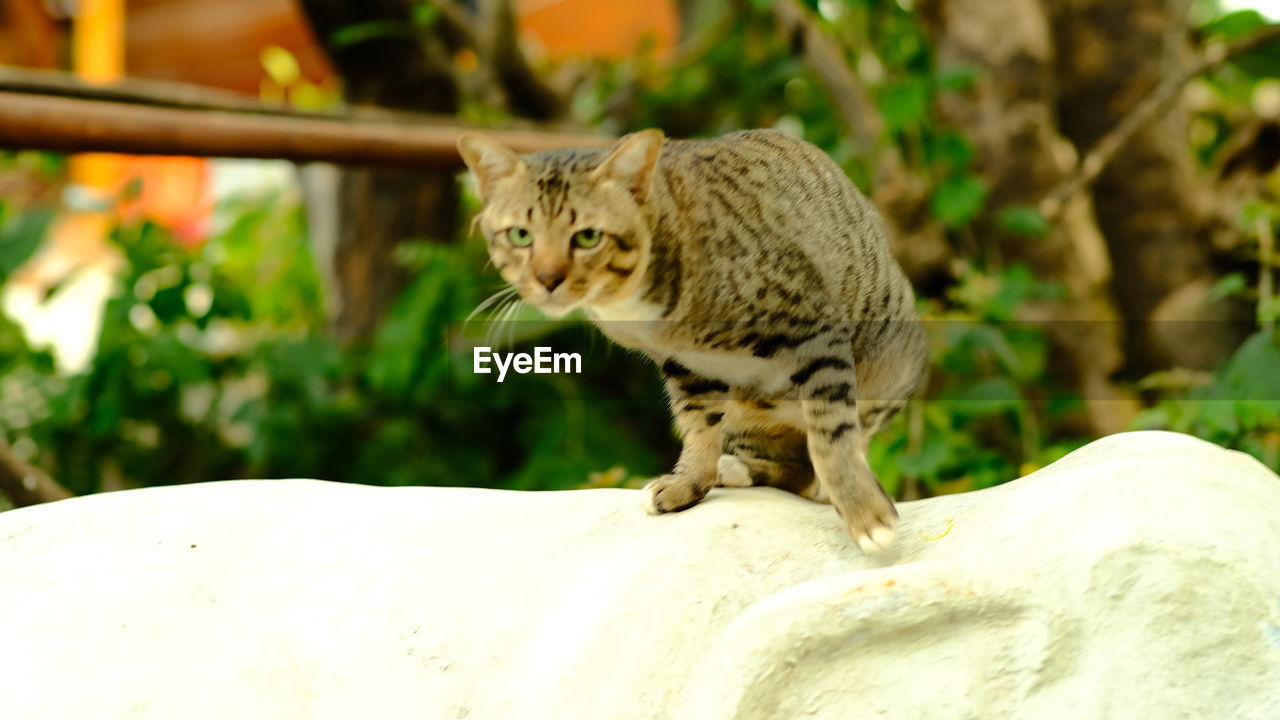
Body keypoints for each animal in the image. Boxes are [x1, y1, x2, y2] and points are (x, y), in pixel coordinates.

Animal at [460, 127, 931, 548]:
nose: (547, 279)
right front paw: (689, 484)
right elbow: (698, 424)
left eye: (588, 237)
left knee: (827, 453)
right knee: (792, 468)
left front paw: (863, 511)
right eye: (521, 235)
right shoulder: (686, 362)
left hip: (891, 367)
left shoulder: (812, 326)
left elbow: (830, 434)